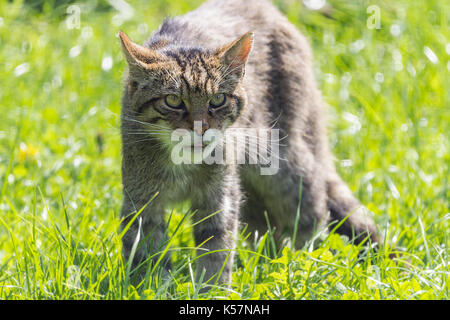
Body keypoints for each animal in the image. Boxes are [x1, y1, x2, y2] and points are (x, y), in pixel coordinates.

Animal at [118, 0, 378, 286]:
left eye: (218, 99)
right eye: (173, 101)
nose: (201, 128)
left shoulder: (219, 198)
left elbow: (215, 250)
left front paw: (212, 289)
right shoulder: (142, 203)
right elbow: (146, 255)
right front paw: (149, 286)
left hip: (285, 171)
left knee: (312, 217)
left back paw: (300, 266)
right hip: (254, 195)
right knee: (270, 231)